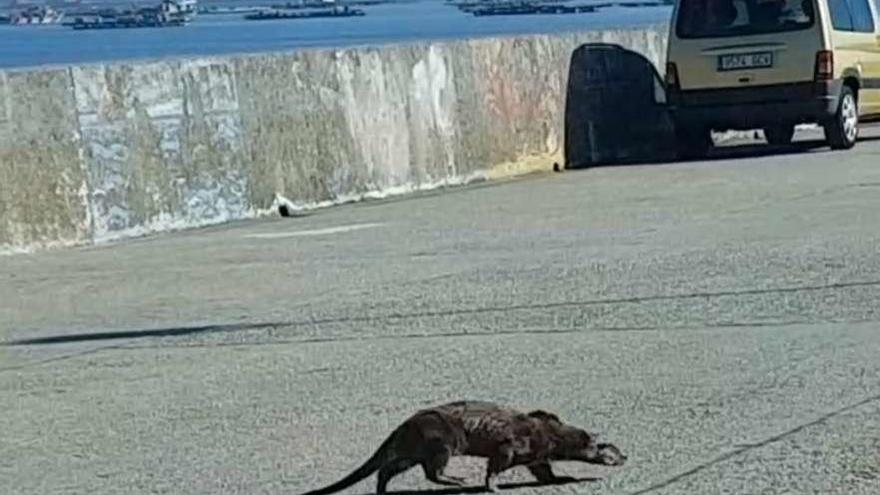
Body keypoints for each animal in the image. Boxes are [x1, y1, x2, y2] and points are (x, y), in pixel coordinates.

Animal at [300, 400, 624, 495]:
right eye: (615, 451)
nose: (626, 456)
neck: (549, 432)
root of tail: (403, 426)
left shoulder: (537, 455)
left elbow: (544, 471)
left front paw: (564, 477)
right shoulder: (516, 444)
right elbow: (497, 462)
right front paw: (492, 485)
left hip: (413, 449)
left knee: (389, 467)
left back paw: (382, 489)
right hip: (441, 440)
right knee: (432, 470)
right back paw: (457, 479)